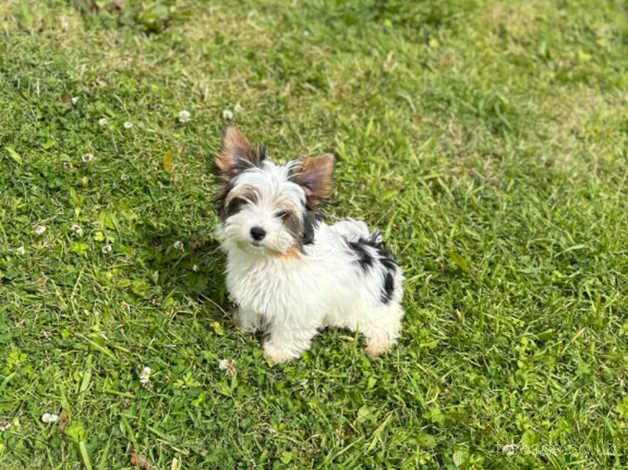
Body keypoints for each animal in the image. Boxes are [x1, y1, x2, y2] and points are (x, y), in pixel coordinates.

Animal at [213, 126, 404, 362]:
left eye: (283, 214)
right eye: (246, 201)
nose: (257, 231)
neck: (274, 255)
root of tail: (376, 248)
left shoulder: (298, 306)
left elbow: (288, 330)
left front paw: (276, 353)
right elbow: (251, 310)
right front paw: (244, 326)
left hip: (373, 306)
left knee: (387, 321)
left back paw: (377, 345)